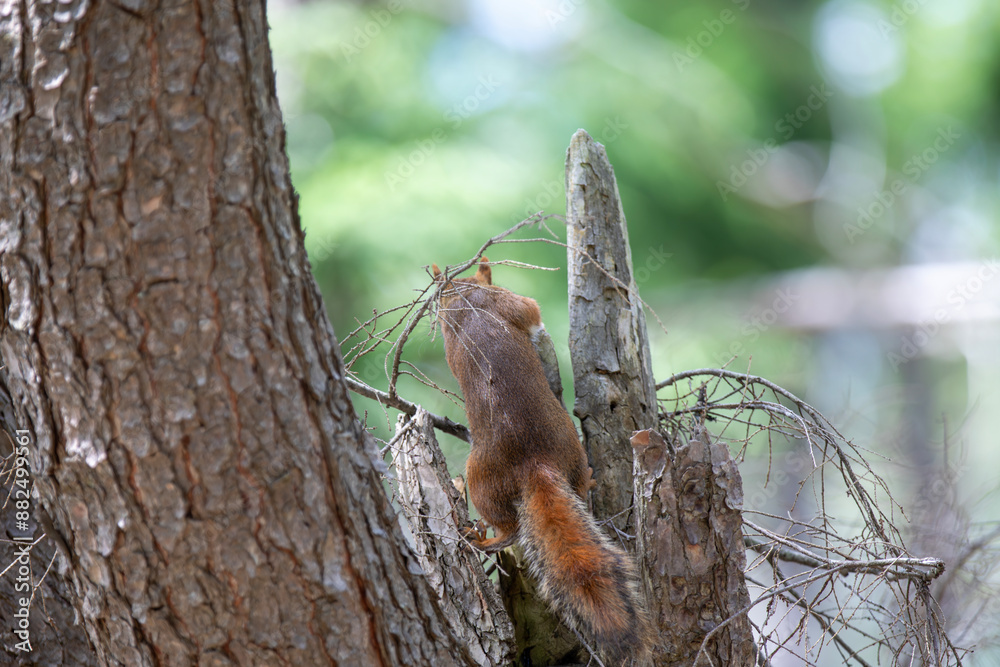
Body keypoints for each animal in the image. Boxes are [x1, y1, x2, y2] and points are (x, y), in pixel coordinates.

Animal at [432, 257, 653, 665]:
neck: (467, 298)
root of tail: (534, 465)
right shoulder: (509, 304)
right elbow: (530, 311)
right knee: (517, 526)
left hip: (509, 469)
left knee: (518, 524)